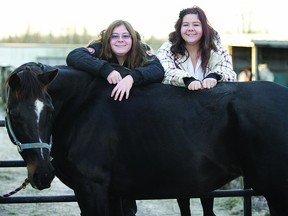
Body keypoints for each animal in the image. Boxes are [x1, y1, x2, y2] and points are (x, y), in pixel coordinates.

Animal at [3, 61, 288, 215]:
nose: (42, 175)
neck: (82, 104)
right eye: (14, 115)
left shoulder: (92, 189)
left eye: (49, 110)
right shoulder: (113, 193)